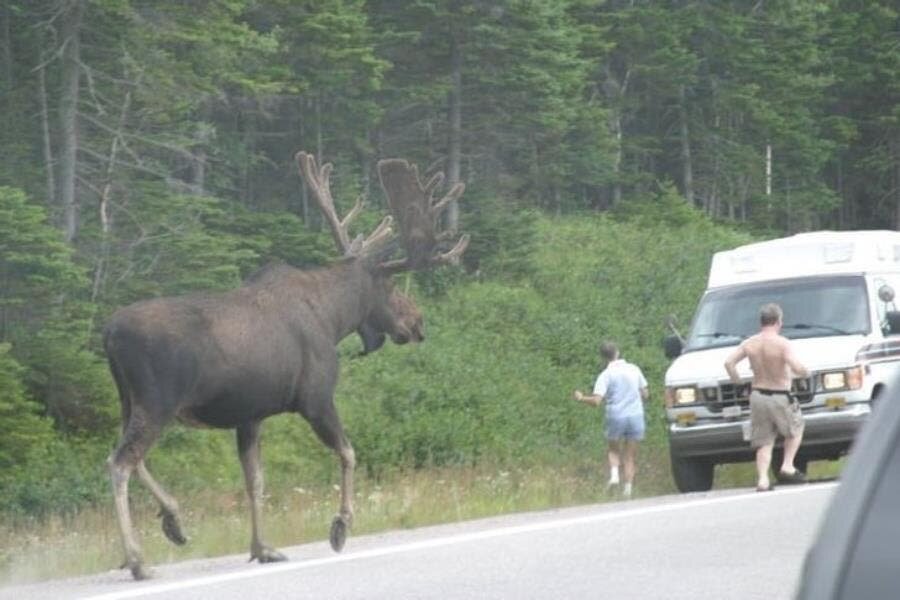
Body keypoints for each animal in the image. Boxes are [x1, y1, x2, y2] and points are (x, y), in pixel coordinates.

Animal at [104, 152, 468, 580]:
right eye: (393, 286)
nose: (417, 323)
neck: (333, 318)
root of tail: (109, 333)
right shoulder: (316, 398)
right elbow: (349, 452)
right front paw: (341, 526)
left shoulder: (249, 416)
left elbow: (255, 480)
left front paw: (262, 547)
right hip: (157, 402)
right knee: (120, 462)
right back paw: (137, 559)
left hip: (130, 401)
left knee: (126, 457)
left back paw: (173, 520)